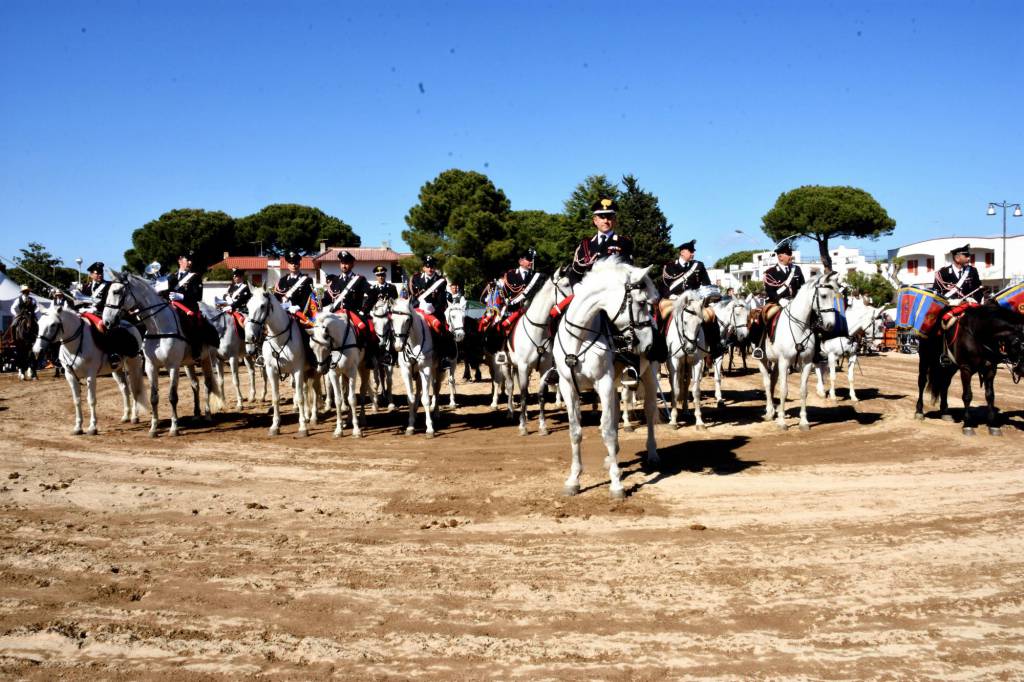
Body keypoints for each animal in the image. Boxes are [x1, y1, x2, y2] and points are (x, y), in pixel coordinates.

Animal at [103, 272, 222, 436]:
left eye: (116, 291)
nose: (106, 322)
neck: (158, 328)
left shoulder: (173, 366)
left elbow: (172, 397)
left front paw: (174, 428)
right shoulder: (151, 367)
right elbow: (154, 397)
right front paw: (153, 428)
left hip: (206, 359)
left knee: (207, 384)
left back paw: (208, 415)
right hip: (188, 364)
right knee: (195, 385)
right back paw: (197, 414)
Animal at [242, 286, 317, 436]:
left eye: (262, 306)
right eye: (248, 306)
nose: (250, 337)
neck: (279, 339)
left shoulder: (297, 370)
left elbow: (300, 397)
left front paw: (302, 428)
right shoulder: (272, 371)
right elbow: (276, 398)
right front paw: (275, 426)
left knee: (315, 390)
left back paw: (313, 417)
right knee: (307, 390)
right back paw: (307, 415)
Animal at [389, 296, 438, 436]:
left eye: (407, 320)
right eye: (392, 319)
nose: (398, 346)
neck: (413, 341)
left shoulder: (425, 368)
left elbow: (426, 399)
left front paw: (430, 428)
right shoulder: (406, 370)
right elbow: (410, 398)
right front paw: (410, 426)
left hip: (434, 369)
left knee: (435, 388)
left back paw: (436, 412)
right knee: (418, 391)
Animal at [552, 258, 655, 497]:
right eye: (641, 303)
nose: (649, 345)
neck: (579, 337)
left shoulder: (604, 383)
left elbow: (607, 430)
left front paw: (616, 484)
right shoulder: (567, 386)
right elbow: (575, 432)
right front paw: (573, 480)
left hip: (649, 377)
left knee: (649, 411)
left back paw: (653, 454)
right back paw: (612, 456)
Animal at [753, 272, 839, 428]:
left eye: (835, 295)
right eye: (823, 295)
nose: (830, 325)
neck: (800, 327)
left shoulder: (806, 363)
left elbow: (803, 391)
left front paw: (803, 421)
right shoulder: (784, 362)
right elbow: (784, 390)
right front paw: (782, 422)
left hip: (776, 362)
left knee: (773, 381)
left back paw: (775, 411)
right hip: (763, 360)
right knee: (767, 383)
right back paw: (769, 411)